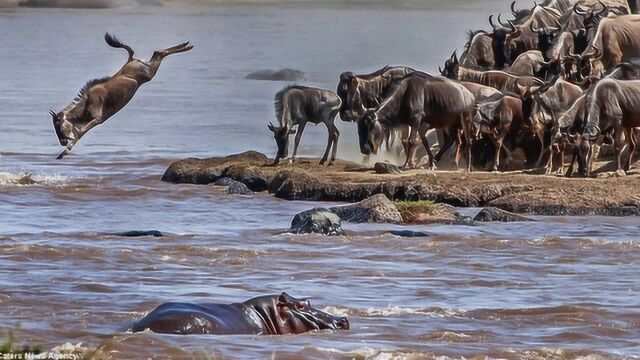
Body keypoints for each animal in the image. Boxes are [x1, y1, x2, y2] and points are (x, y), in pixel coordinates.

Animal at [50, 33, 192, 160]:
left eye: (58, 123)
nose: (62, 141)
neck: (86, 102)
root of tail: (130, 60)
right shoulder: (94, 122)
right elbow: (78, 136)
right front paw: (61, 154)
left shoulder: (97, 118)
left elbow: (78, 134)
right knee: (157, 52)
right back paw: (186, 45)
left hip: (149, 74)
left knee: (158, 52)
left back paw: (186, 46)